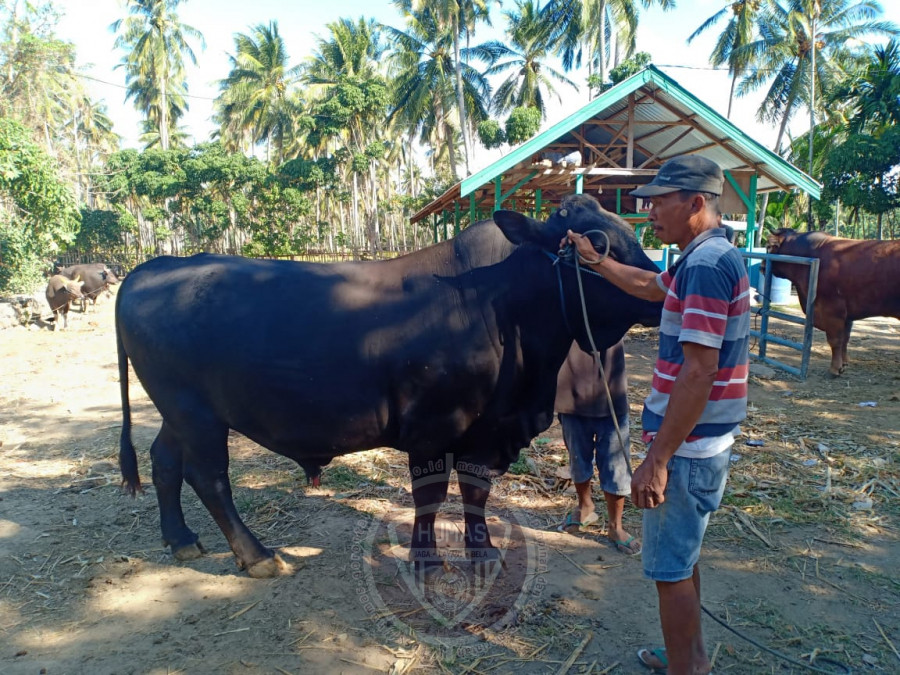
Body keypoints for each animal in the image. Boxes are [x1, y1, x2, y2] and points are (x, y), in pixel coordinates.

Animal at [116, 198, 664, 580]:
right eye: (595, 244)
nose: (661, 287)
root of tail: (154, 266)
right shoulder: (433, 426)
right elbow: (431, 494)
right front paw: (427, 561)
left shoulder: (489, 430)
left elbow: (475, 492)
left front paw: (483, 554)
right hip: (196, 413)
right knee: (208, 477)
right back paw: (257, 556)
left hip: (176, 412)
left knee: (165, 460)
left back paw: (181, 538)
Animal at [768, 230, 900, 378]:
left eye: (768, 247)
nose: (761, 265)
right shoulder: (848, 314)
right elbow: (845, 339)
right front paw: (844, 363)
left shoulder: (832, 309)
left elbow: (835, 340)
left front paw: (835, 368)